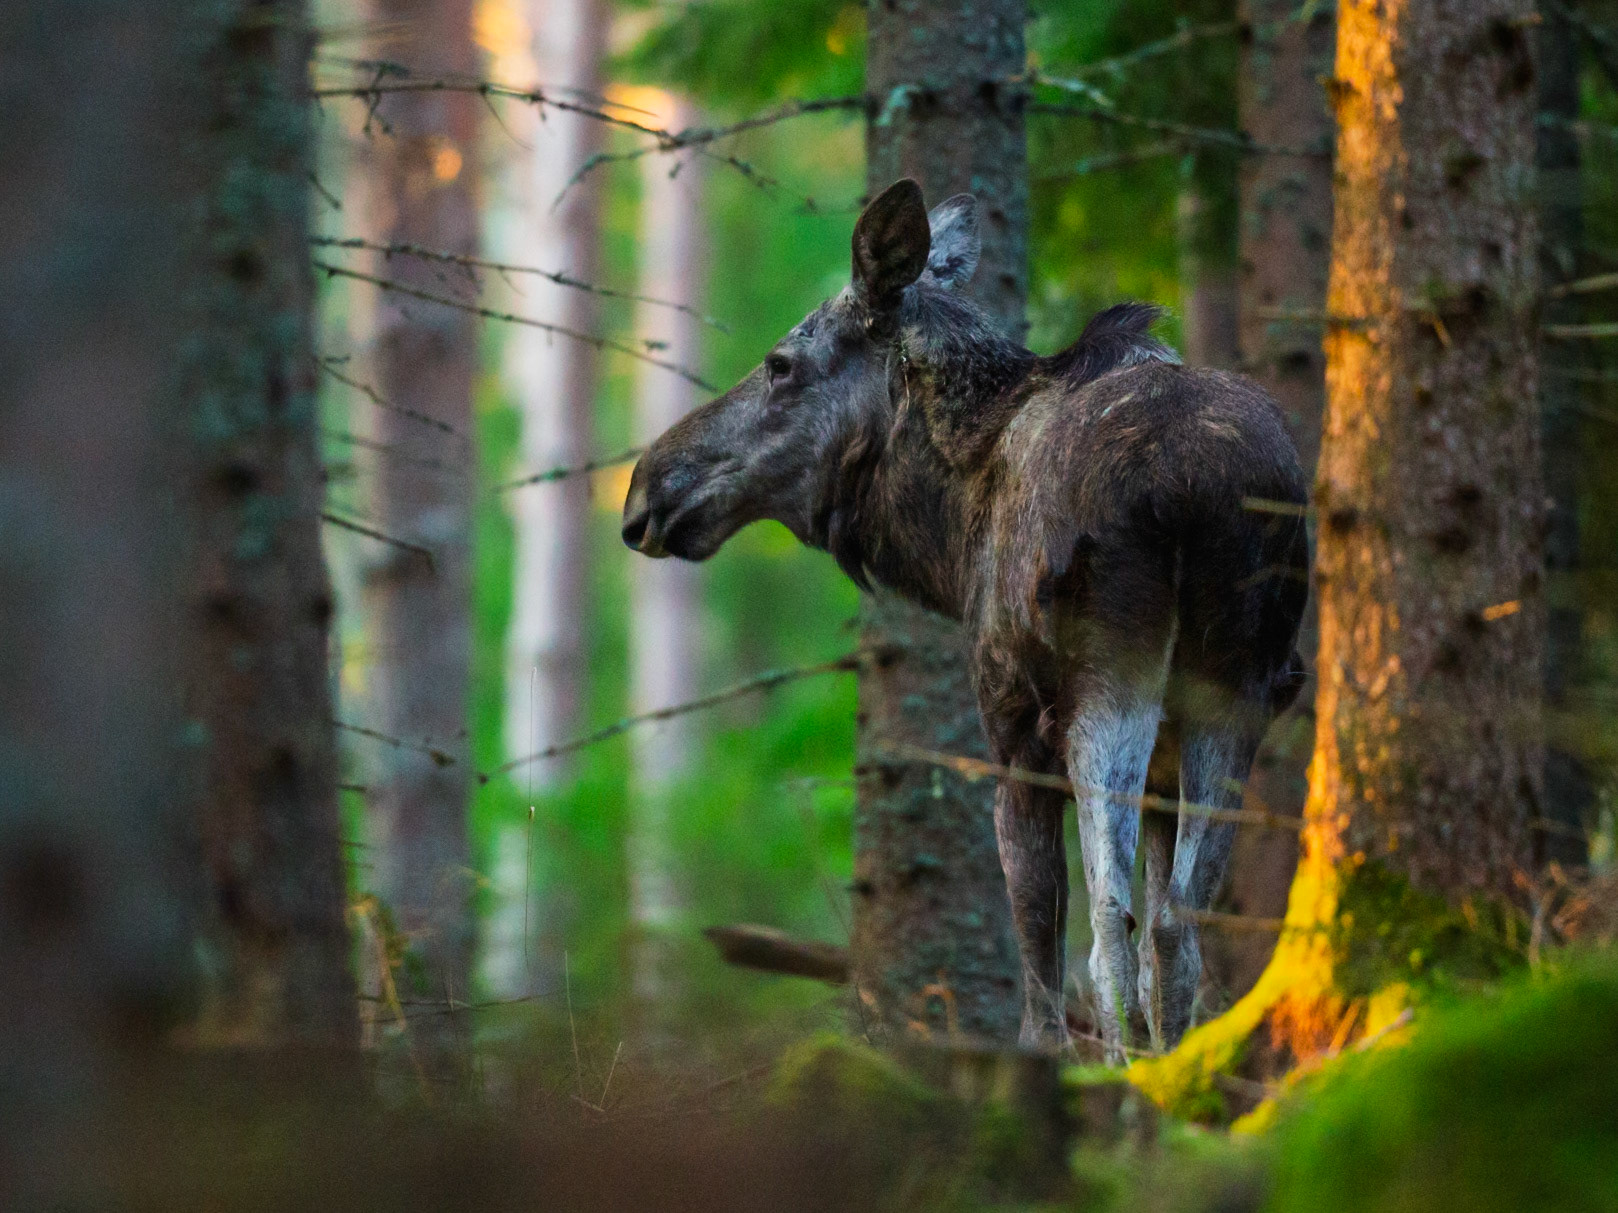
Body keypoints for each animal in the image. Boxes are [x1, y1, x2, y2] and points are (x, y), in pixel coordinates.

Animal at [621, 179, 1308, 1060]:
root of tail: (1191, 489)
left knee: (1110, 933)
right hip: (1235, 690)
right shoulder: (1163, 768)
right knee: (1175, 927)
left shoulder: (1013, 735)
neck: (950, 534)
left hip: (1108, 686)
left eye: (780, 364)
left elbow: (1041, 964)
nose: (646, 487)